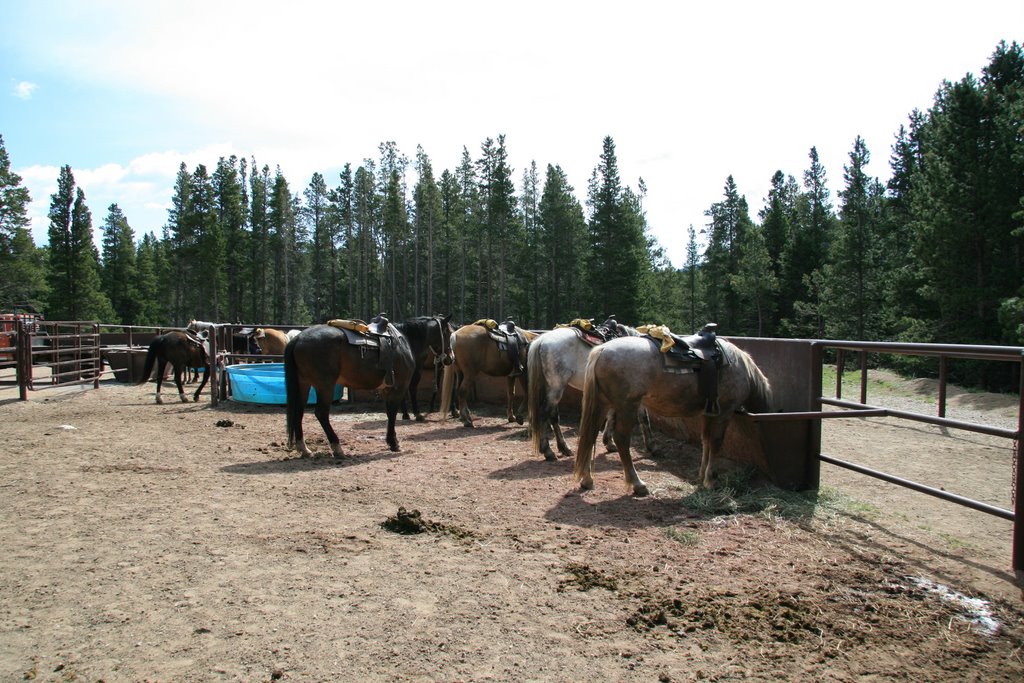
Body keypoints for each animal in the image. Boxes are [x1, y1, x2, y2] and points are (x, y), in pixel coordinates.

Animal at [284, 321, 415, 458]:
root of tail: (298, 338)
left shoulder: (387, 390)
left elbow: (389, 413)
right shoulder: (399, 388)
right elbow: (392, 414)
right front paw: (394, 443)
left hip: (303, 383)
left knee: (299, 412)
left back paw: (304, 448)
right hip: (325, 386)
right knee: (321, 413)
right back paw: (337, 447)